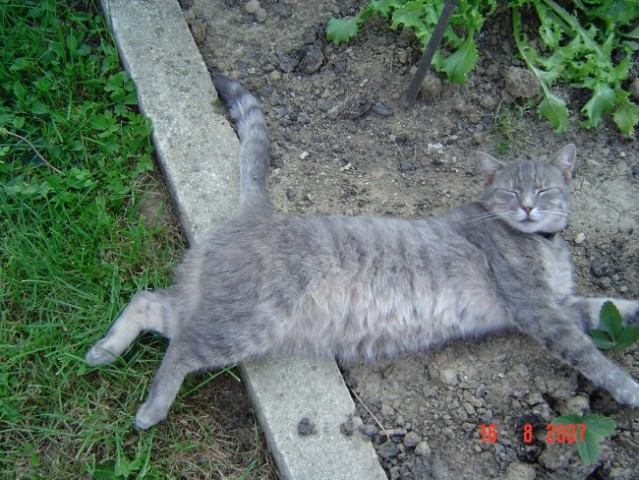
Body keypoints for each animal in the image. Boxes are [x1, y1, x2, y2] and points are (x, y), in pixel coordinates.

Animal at [85, 76, 639, 432]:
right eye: (510, 192)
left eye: (543, 190)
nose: (526, 207)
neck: (542, 243)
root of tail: (260, 211)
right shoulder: (536, 307)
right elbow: (586, 352)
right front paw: (626, 386)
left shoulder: (561, 304)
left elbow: (607, 306)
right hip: (247, 322)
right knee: (180, 347)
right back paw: (150, 409)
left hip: (224, 310)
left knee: (150, 302)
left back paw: (104, 350)